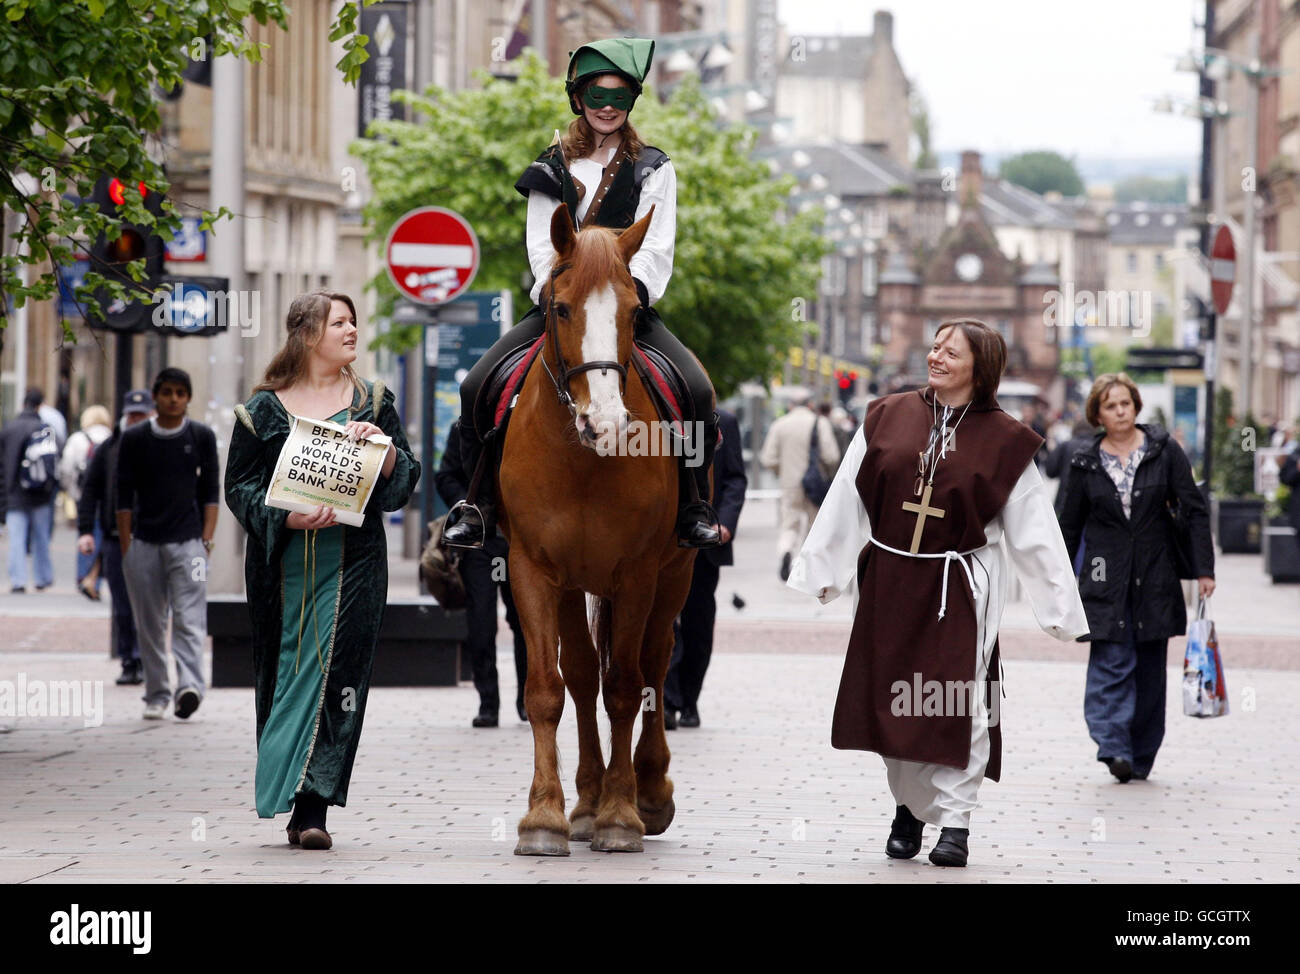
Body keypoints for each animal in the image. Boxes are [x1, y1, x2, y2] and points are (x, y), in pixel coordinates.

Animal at [496, 202, 707, 853]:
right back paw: (585, 802)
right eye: (560, 307)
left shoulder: (637, 573)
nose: (607, 422)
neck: (582, 460)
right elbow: (548, 689)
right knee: (584, 676)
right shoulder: (534, 570)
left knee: (654, 666)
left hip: (674, 575)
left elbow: (626, 686)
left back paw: (649, 792)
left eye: (634, 310)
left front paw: (621, 813)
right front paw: (545, 816)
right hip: (573, 585)